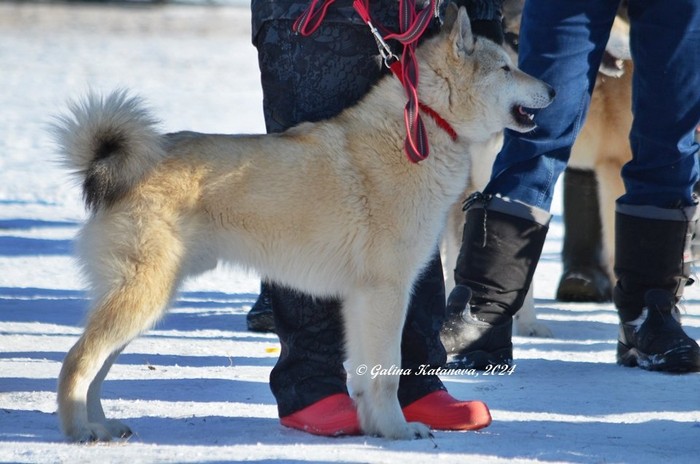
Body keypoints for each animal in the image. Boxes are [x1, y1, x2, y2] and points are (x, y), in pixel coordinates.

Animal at [54, 4, 553, 442]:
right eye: (506, 69)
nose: (551, 91)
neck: (424, 122)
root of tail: (113, 164)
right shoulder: (387, 291)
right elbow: (388, 374)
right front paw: (397, 431)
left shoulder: (364, 299)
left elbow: (367, 375)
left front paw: (375, 427)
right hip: (143, 296)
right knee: (78, 361)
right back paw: (80, 431)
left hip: (143, 301)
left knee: (96, 367)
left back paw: (103, 426)